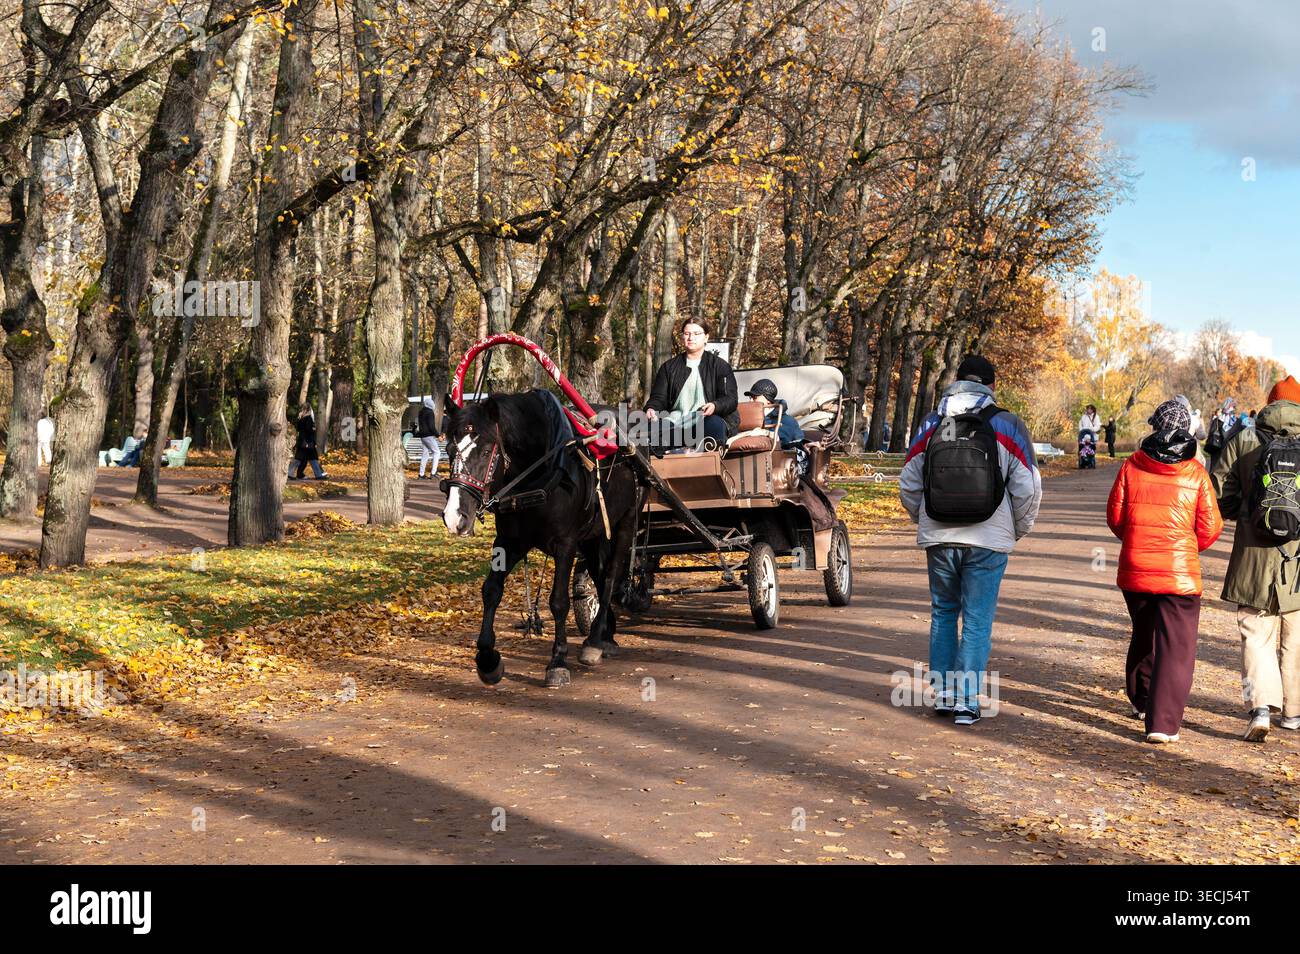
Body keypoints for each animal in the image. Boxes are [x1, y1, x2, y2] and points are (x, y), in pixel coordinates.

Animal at [440, 390, 646, 688]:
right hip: (593, 535)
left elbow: (559, 601)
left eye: (486, 450)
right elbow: (491, 591)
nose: (455, 516)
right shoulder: (509, 541)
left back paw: (595, 640)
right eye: (449, 450)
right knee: (599, 572)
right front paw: (488, 659)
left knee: (610, 576)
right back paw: (606, 634)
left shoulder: (566, 544)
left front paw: (558, 661)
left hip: (625, 522)